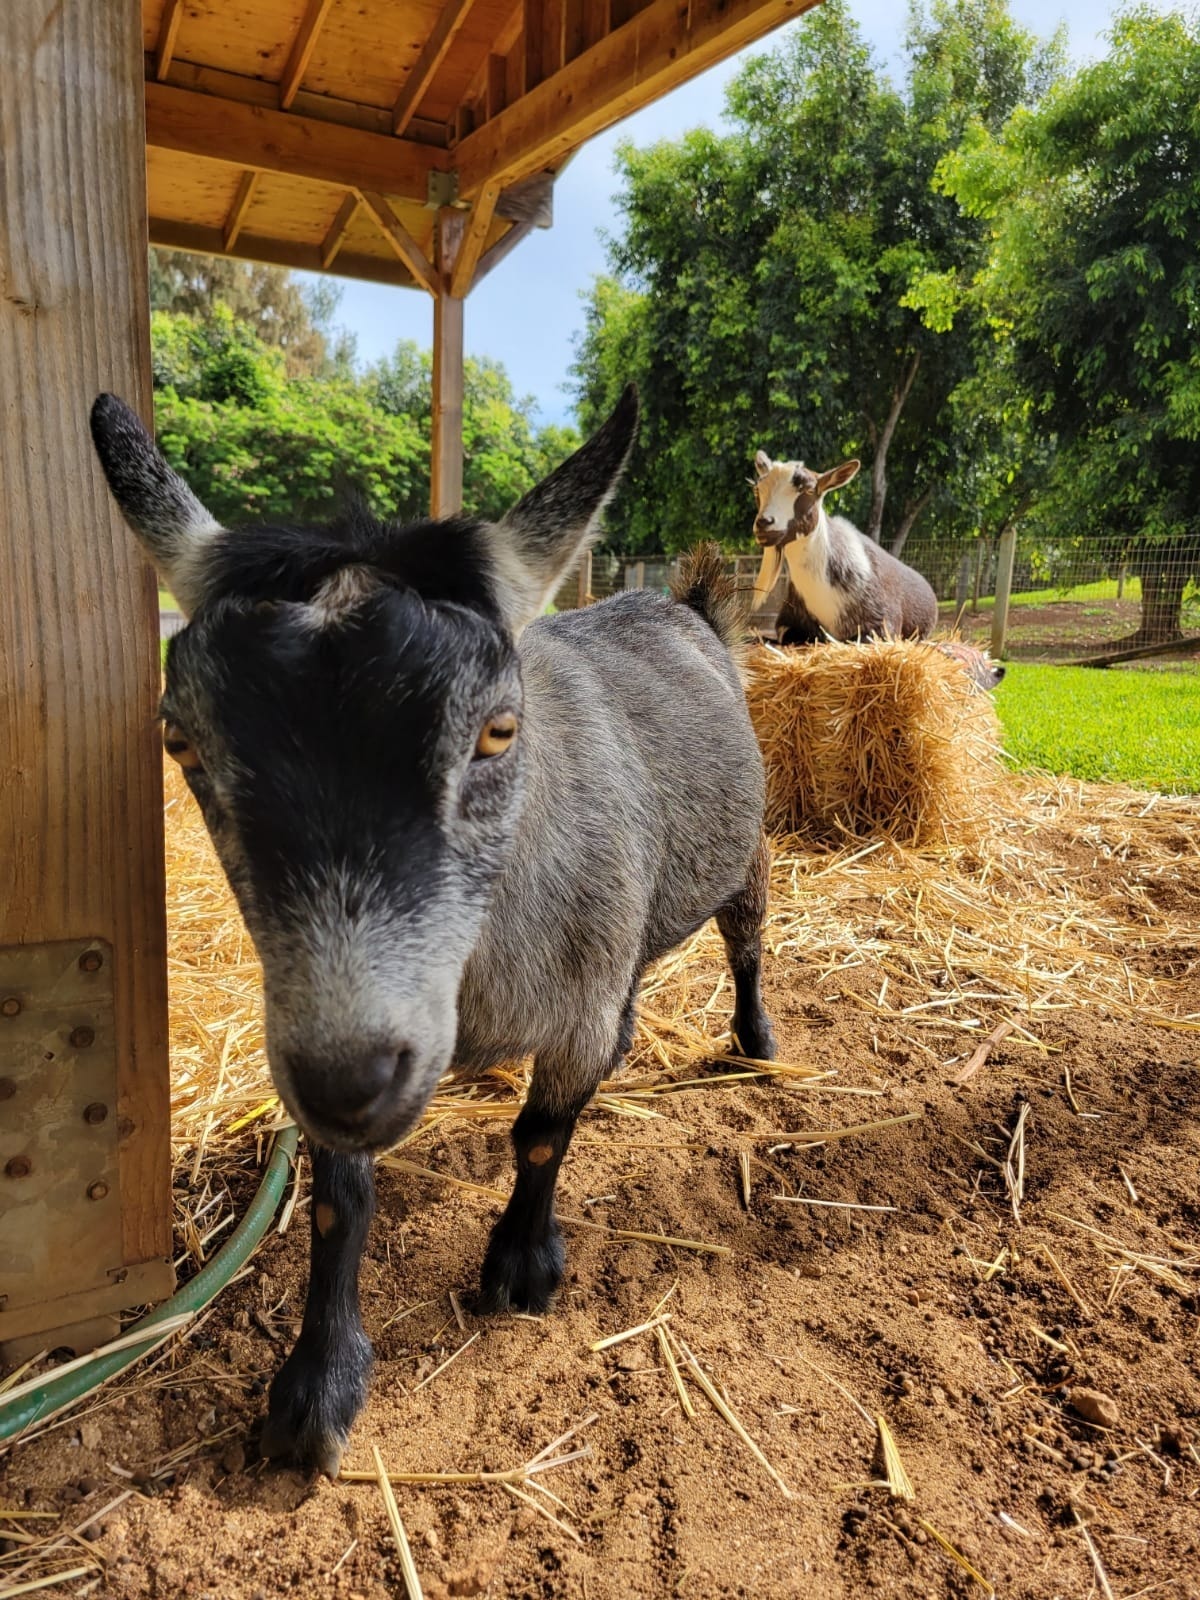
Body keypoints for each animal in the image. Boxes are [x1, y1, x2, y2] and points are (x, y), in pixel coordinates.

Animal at [89, 384, 774, 1472]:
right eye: (181, 741)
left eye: (498, 731)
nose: (352, 1077)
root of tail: (691, 603)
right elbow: (340, 1194)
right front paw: (317, 1384)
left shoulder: (573, 1005)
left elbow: (541, 1135)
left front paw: (522, 1266)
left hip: (746, 851)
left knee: (746, 937)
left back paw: (755, 1039)